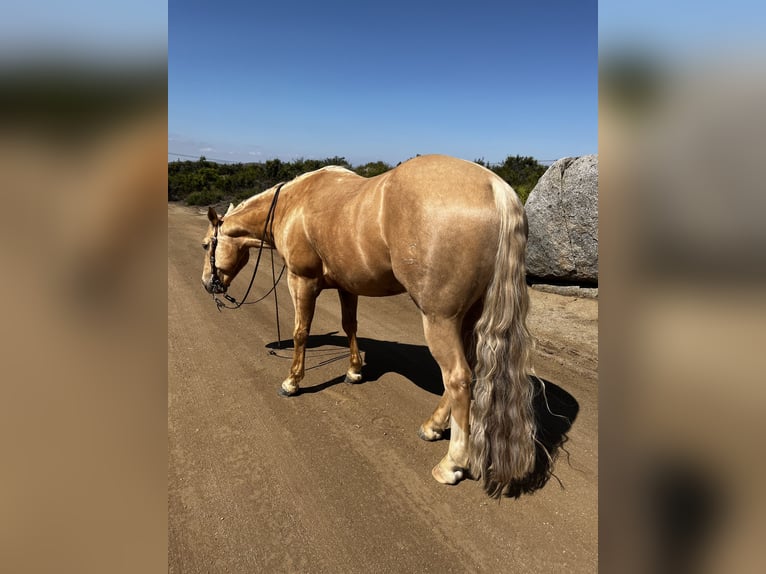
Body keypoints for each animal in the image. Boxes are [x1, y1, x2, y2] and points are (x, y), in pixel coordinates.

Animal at [204, 155, 540, 498]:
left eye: (207, 246)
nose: (208, 283)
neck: (293, 204)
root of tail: (495, 188)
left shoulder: (301, 281)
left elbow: (301, 332)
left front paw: (292, 381)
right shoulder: (346, 285)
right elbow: (350, 325)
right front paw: (354, 371)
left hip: (440, 320)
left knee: (458, 378)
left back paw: (451, 463)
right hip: (471, 316)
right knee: (466, 372)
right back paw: (432, 426)